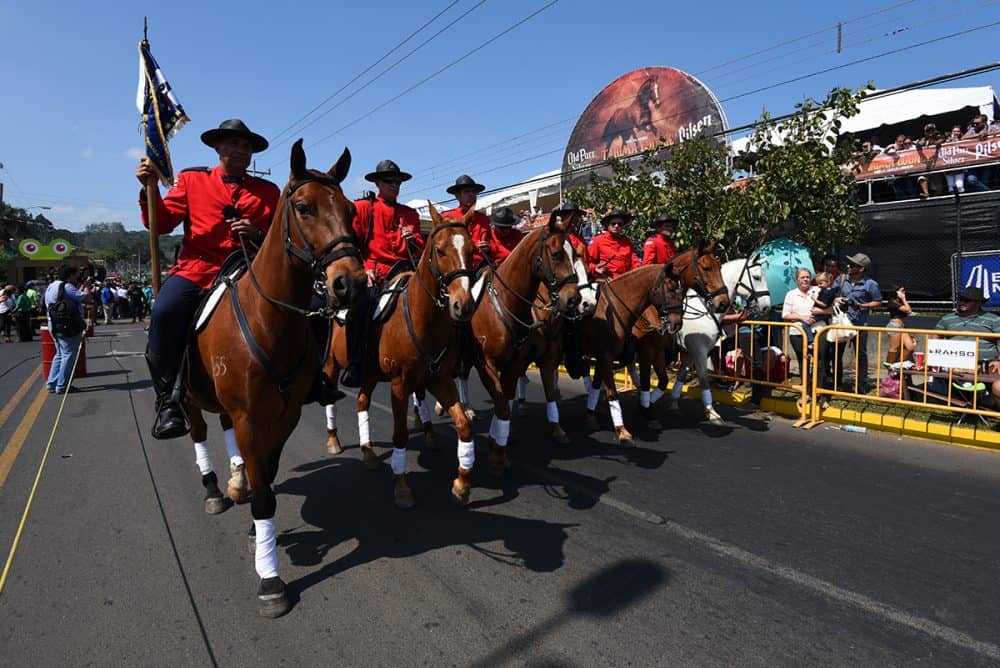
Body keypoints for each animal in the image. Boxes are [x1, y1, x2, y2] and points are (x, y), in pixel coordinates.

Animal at [183, 140, 364, 616]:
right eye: (303, 208)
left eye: (351, 210)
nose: (352, 283)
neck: (270, 318)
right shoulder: (249, 417)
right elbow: (264, 490)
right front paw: (270, 579)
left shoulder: (283, 417)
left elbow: (268, 475)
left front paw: (256, 529)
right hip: (190, 399)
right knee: (198, 432)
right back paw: (215, 489)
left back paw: (235, 480)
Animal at [320, 204, 476, 506]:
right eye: (440, 250)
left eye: (473, 249)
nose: (462, 305)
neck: (419, 315)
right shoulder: (399, 385)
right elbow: (400, 435)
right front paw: (402, 487)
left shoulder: (440, 379)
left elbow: (463, 425)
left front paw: (462, 483)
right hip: (333, 366)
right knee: (333, 400)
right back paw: (333, 440)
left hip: (368, 374)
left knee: (362, 402)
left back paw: (368, 451)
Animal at [470, 217, 584, 472]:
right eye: (556, 254)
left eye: (576, 255)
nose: (574, 299)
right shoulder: (487, 365)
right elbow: (502, 402)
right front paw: (498, 448)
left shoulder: (529, 361)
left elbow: (527, 396)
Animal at [580, 243, 728, 446]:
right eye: (706, 268)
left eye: (719, 267)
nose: (724, 302)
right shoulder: (647, 350)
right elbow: (645, 380)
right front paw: (644, 408)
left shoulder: (665, 351)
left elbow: (666, 380)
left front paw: (650, 405)